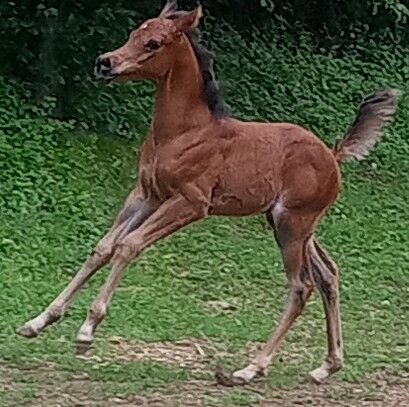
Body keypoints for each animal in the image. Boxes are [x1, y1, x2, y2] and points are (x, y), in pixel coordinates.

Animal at [19, 0, 398, 388]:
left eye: (154, 43)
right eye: (133, 33)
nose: (105, 62)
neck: (183, 132)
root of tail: (333, 155)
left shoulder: (191, 202)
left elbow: (129, 245)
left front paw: (87, 330)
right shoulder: (146, 195)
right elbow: (103, 248)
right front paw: (38, 321)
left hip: (292, 223)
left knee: (300, 286)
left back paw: (250, 368)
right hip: (292, 224)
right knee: (328, 274)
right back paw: (327, 365)